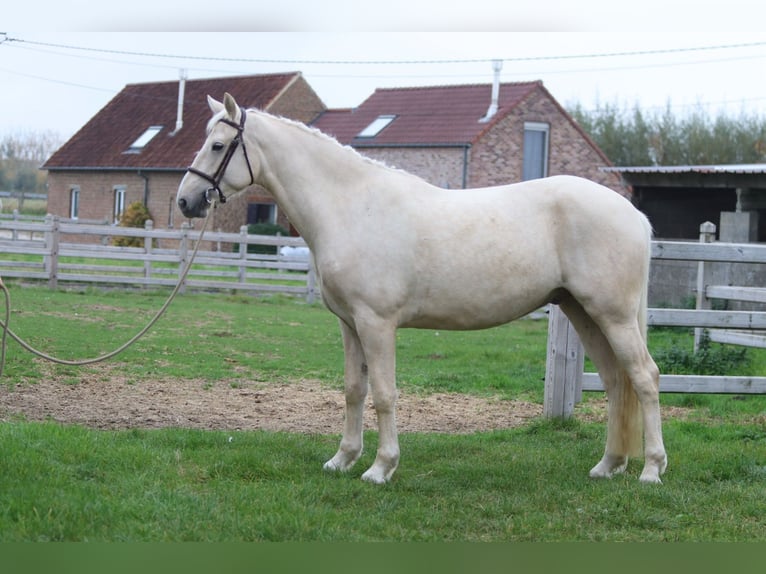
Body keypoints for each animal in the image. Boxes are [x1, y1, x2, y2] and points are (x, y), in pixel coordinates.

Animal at [177, 93, 667, 485]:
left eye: (218, 145)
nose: (186, 201)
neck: (352, 206)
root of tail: (633, 214)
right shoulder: (350, 325)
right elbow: (354, 390)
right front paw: (342, 460)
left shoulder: (376, 324)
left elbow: (384, 394)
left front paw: (381, 468)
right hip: (583, 312)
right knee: (616, 382)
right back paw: (608, 465)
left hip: (613, 315)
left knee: (644, 378)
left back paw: (651, 469)